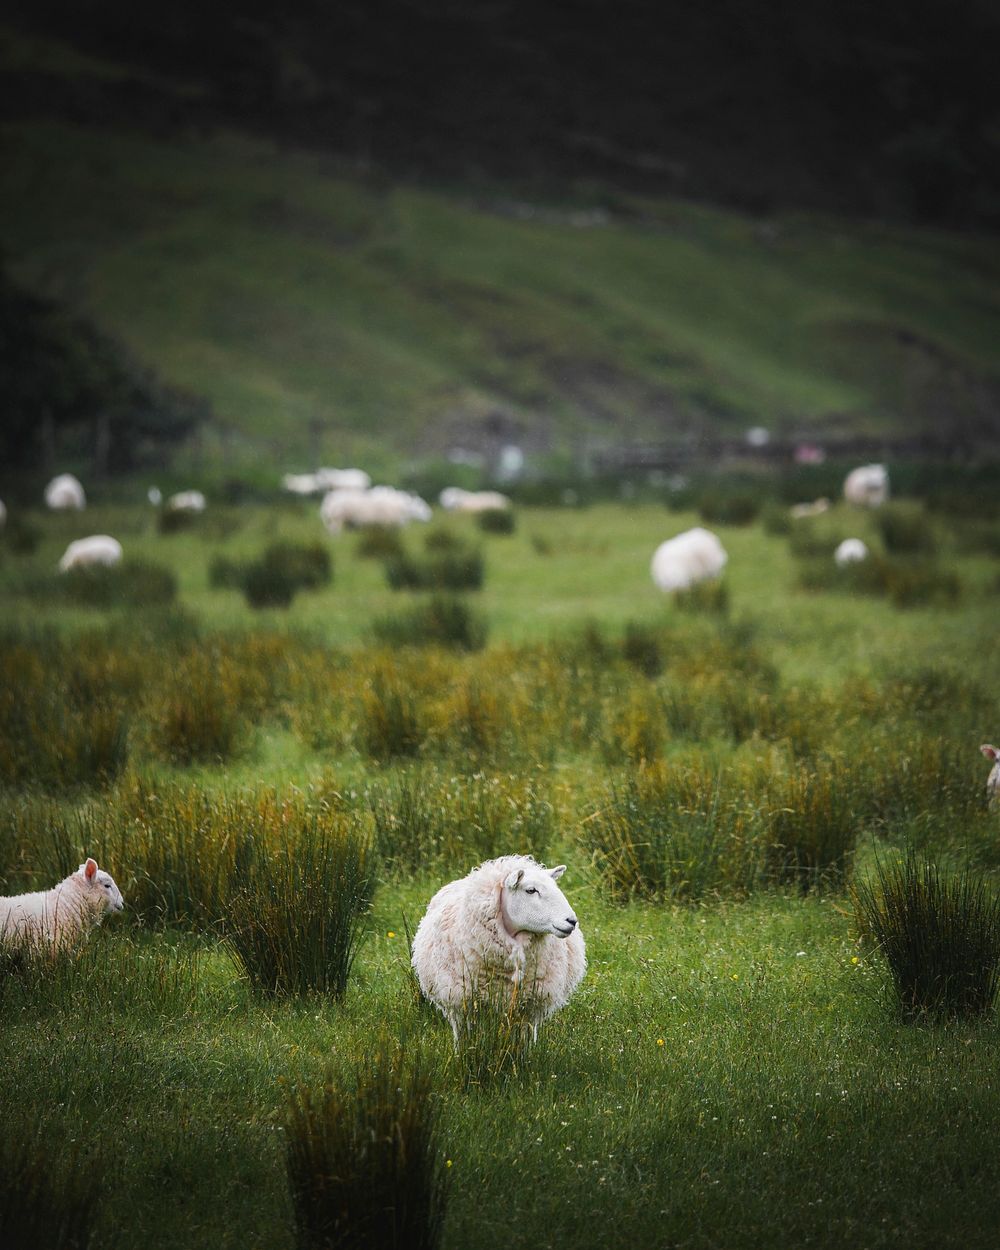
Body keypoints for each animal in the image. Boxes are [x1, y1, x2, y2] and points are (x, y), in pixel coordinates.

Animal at [410, 850, 585, 1045]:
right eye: (531, 890)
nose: (572, 921)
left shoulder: (530, 1008)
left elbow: (526, 1040)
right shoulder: (460, 1003)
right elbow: (464, 1038)